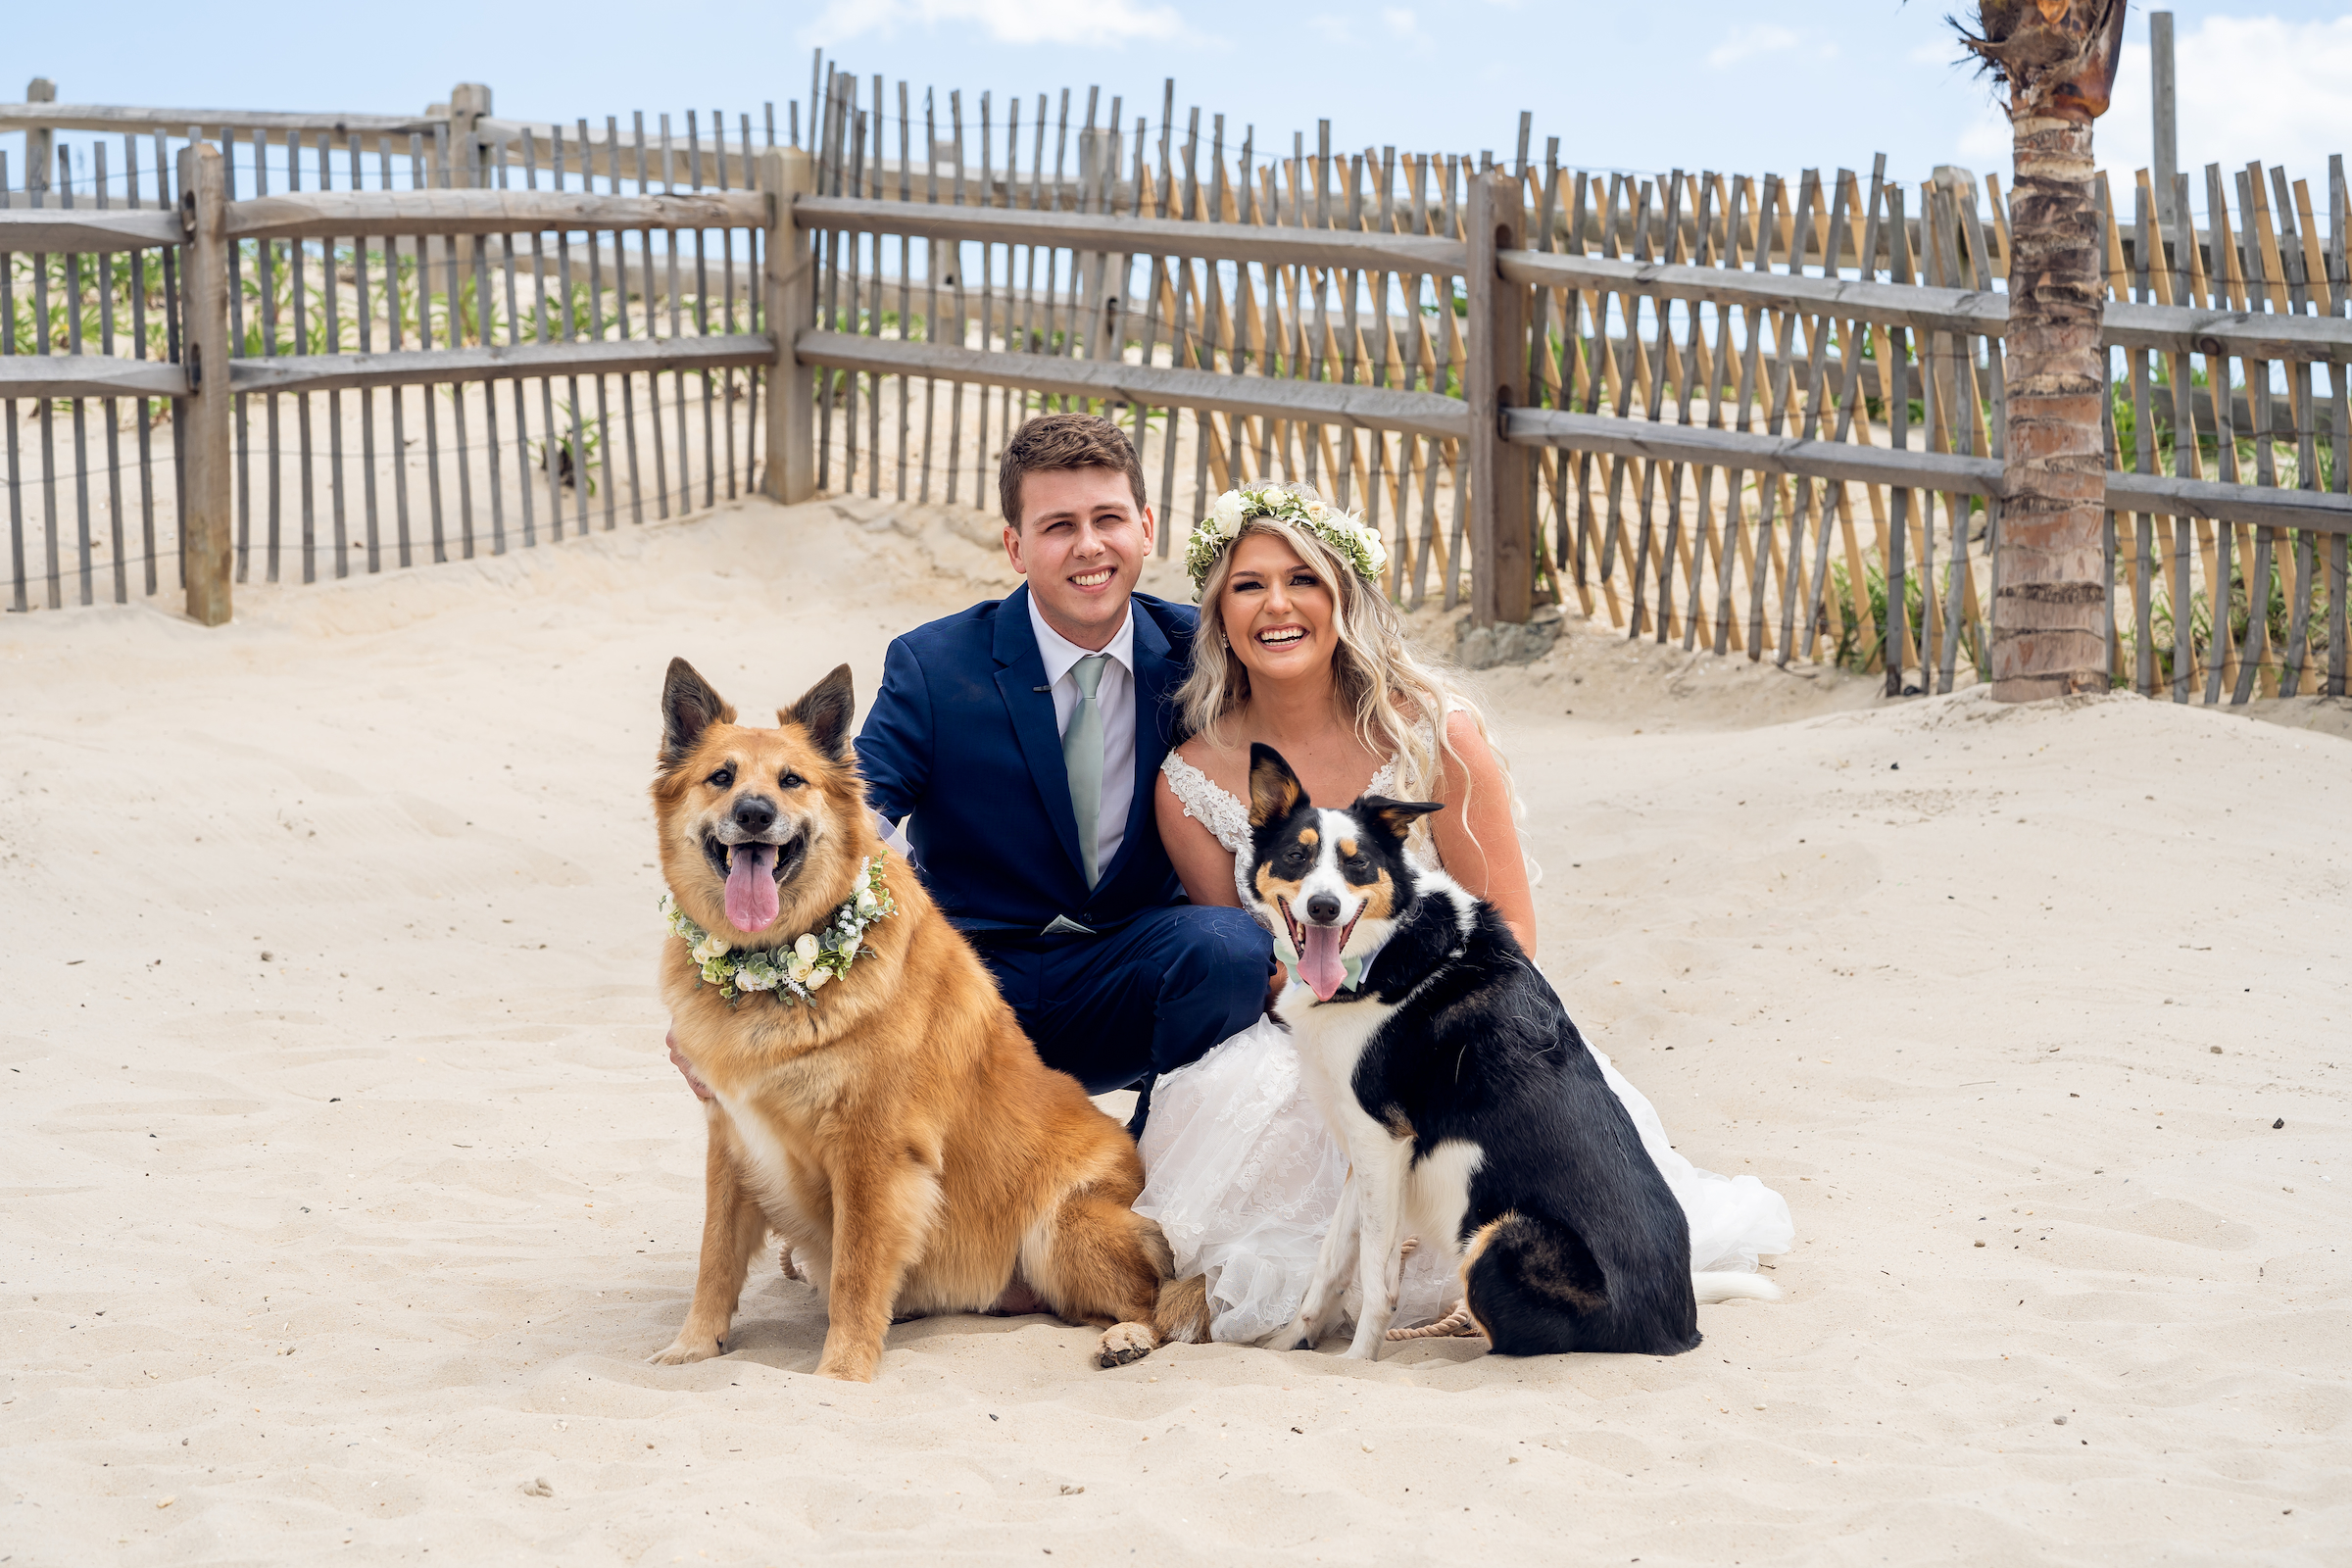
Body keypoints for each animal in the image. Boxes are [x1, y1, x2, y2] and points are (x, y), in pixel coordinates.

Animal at [644, 658, 1195, 1382]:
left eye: (792, 780)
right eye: (721, 777)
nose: (755, 814)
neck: (775, 969)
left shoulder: (872, 1153)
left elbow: (855, 1274)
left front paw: (841, 1374)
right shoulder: (732, 1139)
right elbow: (715, 1259)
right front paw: (693, 1346)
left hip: (1062, 1229)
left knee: (1158, 1299)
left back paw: (1128, 1336)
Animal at [1250, 747, 1768, 1363]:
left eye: (1357, 866)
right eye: (1296, 856)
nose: (1325, 908)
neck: (1387, 947)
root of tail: (1677, 1328)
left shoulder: (1382, 1140)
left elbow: (1376, 1275)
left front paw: (1356, 1363)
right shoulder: (1365, 1144)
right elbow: (1330, 1264)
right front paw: (1293, 1342)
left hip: (1498, 1237)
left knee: (1507, 1340)